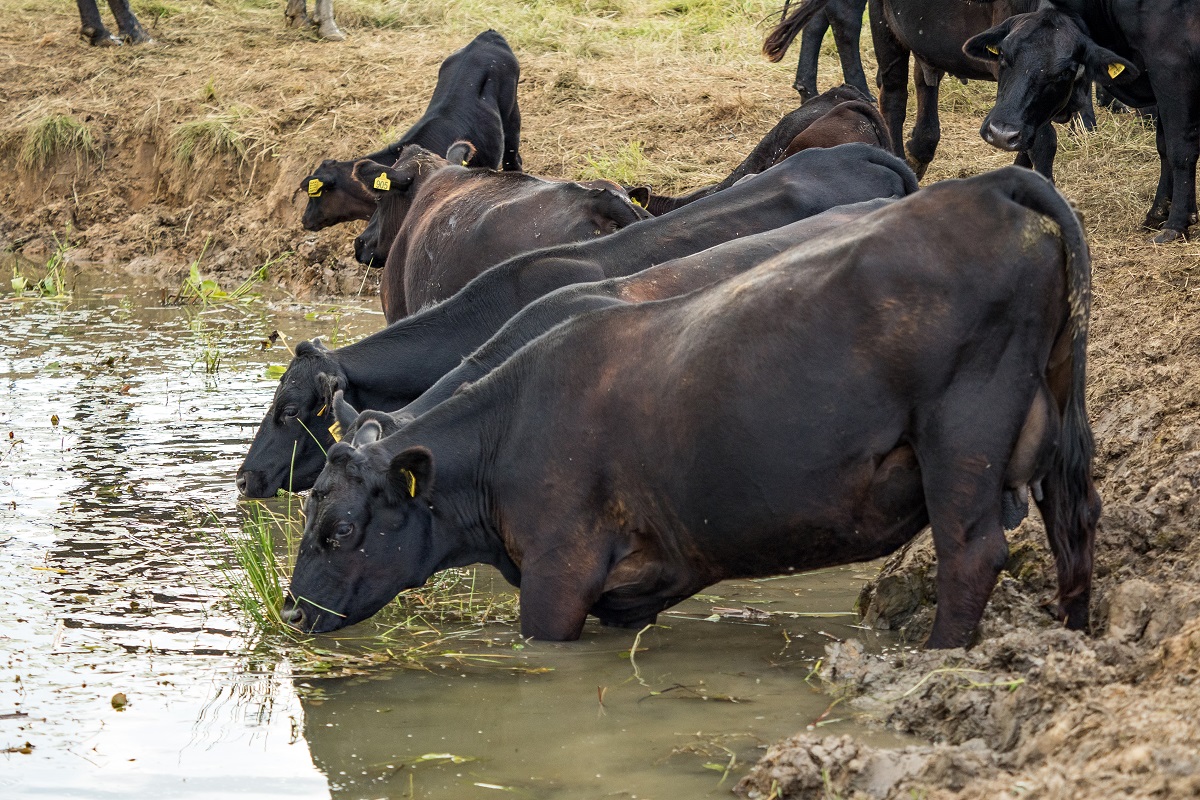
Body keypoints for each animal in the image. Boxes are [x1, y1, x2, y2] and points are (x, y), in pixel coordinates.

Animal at [280, 165, 1099, 647]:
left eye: (341, 529)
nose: (288, 610)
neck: (509, 424)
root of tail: (992, 187)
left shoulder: (557, 575)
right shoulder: (631, 588)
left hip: (962, 441)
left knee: (972, 553)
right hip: (1056, 427)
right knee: (1074, 526)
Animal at [964, 1, 1200, 242]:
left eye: (1064, 72)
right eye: (1003, 56)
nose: (1001, 133)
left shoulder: (1170, 68)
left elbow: (1180, 150)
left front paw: (1176, 222)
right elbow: (1163, 146)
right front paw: (1159, 212)